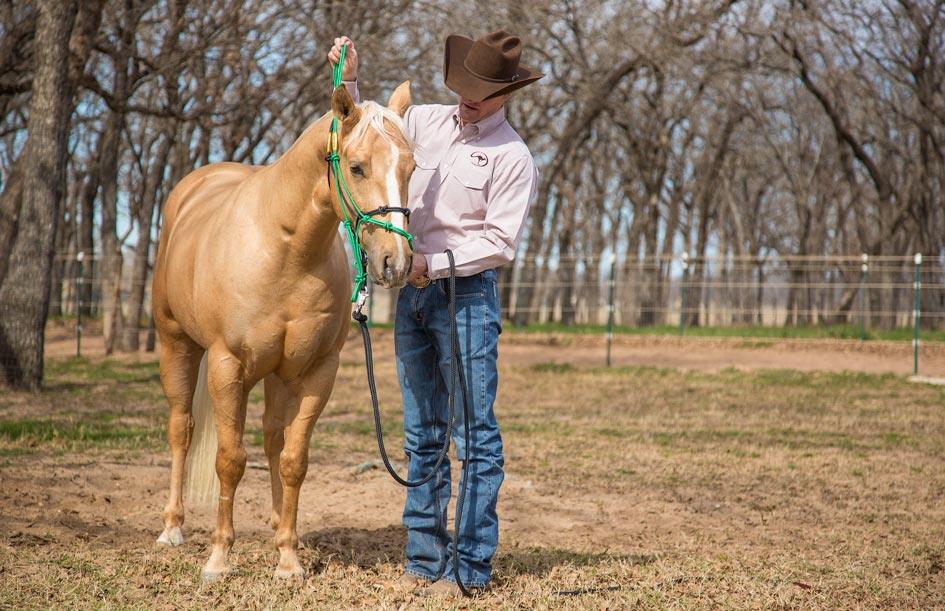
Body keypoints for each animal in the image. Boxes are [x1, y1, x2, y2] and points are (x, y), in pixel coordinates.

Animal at [151, 82, 415, 580]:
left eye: (411, 167)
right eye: (356, 167)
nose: (397, 262)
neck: (285, 248)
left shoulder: (316, 371)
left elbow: (294, 460)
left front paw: (288, 558)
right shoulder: (227, 366)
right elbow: (230, 460)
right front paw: (219, 558)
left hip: (277, 373)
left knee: (273, 438)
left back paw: (277, 522)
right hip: (176, 345)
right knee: (181, 428)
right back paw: (172, 528)